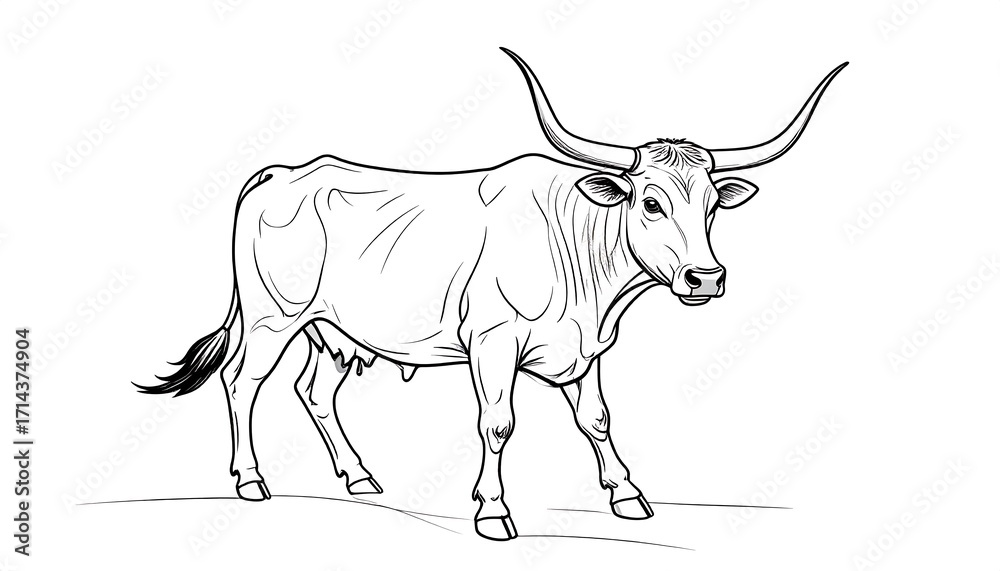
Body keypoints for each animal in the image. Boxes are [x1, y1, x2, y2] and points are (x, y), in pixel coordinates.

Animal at [140, 48, 846, 541]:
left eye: (712, 206)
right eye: (650, 202)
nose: (707, 278)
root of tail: (285, 172)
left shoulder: (586, 352)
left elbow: (597, 419)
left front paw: (626, 496)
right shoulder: (491, 343)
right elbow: (498, 423)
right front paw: (493, 512)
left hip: (334, 329)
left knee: (313, 392)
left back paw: (361, 478)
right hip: (272, 317)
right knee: (243, 382)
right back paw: (251, 481)